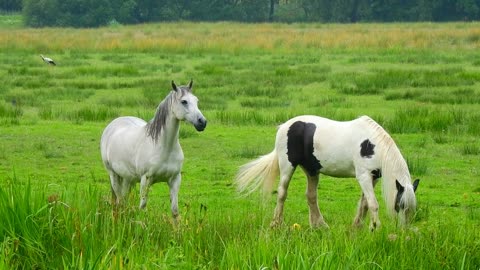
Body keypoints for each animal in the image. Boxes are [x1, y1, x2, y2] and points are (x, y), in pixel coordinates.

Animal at [99, 80, 206, 219]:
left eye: (196, 100)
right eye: (184, 101)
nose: (202, 122)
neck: (164, 147)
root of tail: (113, 124)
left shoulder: (175, 179)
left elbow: (175, 212)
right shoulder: (146, 180)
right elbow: (142, 207)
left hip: (128, 179)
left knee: (124, 201)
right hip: (114, 175)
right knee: (120, 202)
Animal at [236, 114, 420, 230]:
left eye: (411, 208)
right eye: (400, 205)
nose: (403, 230)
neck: (372, 145)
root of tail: (285, 126)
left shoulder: (373, 177)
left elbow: (365, 204)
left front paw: (357, 227)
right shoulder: (363, 176)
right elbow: (373, 204)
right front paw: (375, 228)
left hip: (311, 170)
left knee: (311, 196)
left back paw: (319, 225)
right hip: (287, 165)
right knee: (282, 193)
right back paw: (276, 224)